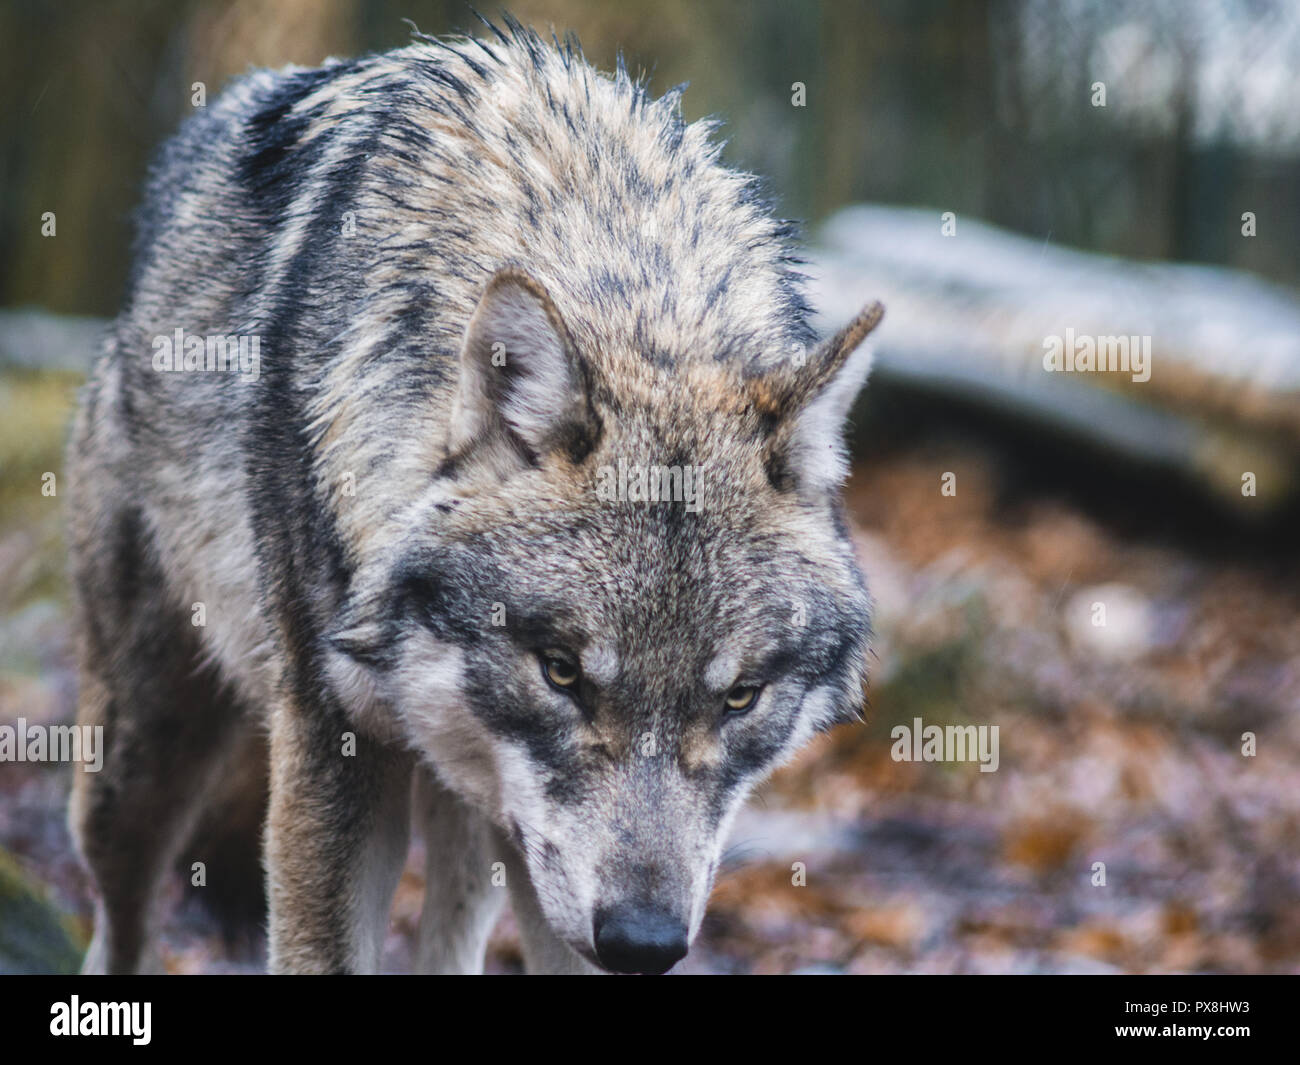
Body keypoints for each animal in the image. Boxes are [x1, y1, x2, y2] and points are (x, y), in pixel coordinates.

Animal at [66, 18, 882, 974]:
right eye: (561, 671)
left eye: (741, 696)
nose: (643, 940)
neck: (620, 277)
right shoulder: (329, 743)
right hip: (140, 760)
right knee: (122, 913)